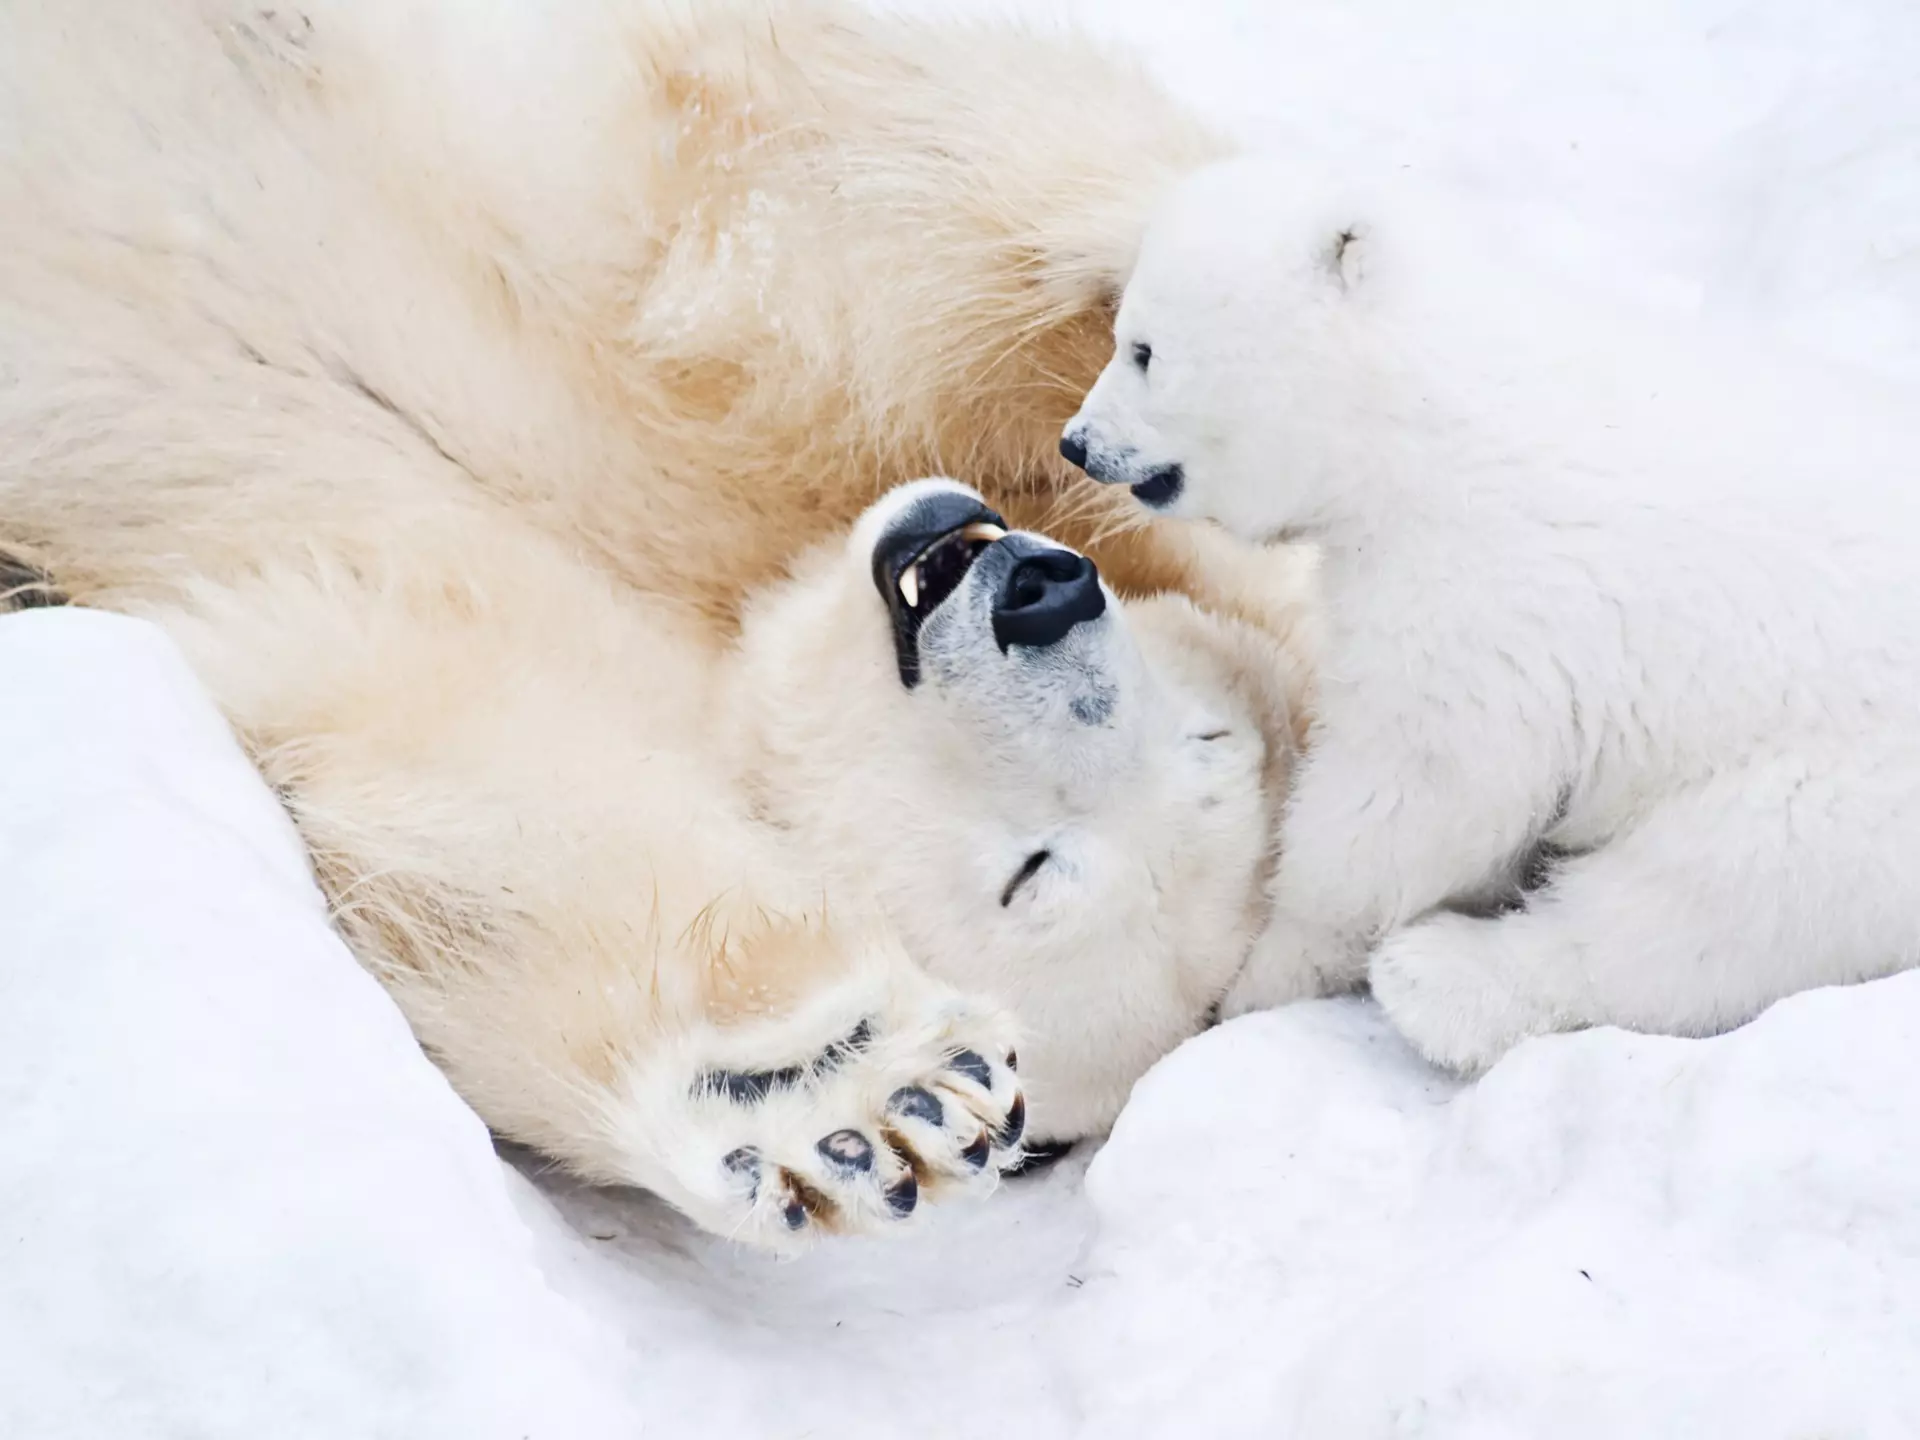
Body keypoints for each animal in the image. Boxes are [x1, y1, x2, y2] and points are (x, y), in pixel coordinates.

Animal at [0, 1, 1314, 1246]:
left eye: (1034, 873)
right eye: (1210, 729)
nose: (1044, 596)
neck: (713, 584)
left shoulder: (441, 618)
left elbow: (481, 818)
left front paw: (841, 1090)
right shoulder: (686, 319)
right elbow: (832, 199)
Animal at [1062, 152, 1920, 1075]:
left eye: (1143, 349)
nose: (1078, 442)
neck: (1428, 417)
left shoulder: (1481, 594)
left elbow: (1414, 788)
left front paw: (1268, 972)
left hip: (1842, 787)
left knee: (1711, 901)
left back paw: (1436, 979)